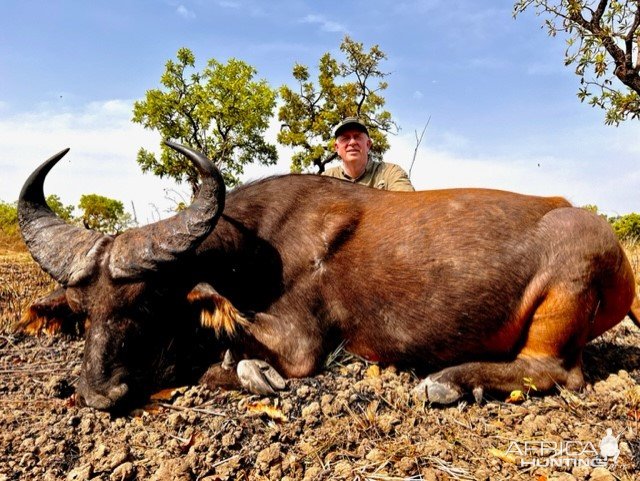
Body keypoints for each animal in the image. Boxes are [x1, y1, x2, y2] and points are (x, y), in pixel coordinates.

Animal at [17, 142, 636, 408]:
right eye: (84, 311)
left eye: (144, 303)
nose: (98, 393)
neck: (254, 245)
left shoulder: (300, 346)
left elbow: (218, 362)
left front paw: (249, 373)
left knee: (556, 371)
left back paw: (448, 381)